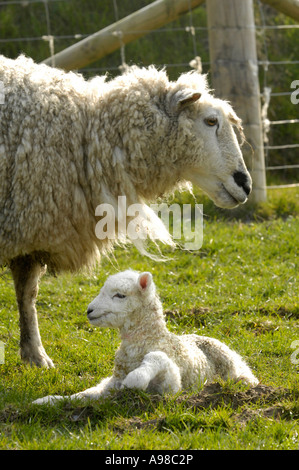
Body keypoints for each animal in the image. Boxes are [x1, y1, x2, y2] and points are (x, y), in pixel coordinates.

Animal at [0, 55, 253, 370]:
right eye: (210, 121)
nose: (246, 184)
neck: (88, 135)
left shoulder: (29, 231)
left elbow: (27, 294)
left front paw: (35, 355)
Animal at [32, 270, 258, 406]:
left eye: (120, 295)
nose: (89, 310)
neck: (151, 339)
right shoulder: (110, 385)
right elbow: (81, 396)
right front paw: (47, 400)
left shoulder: (170, 389)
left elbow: (156, 359)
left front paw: (136, 379)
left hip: (236, 371)